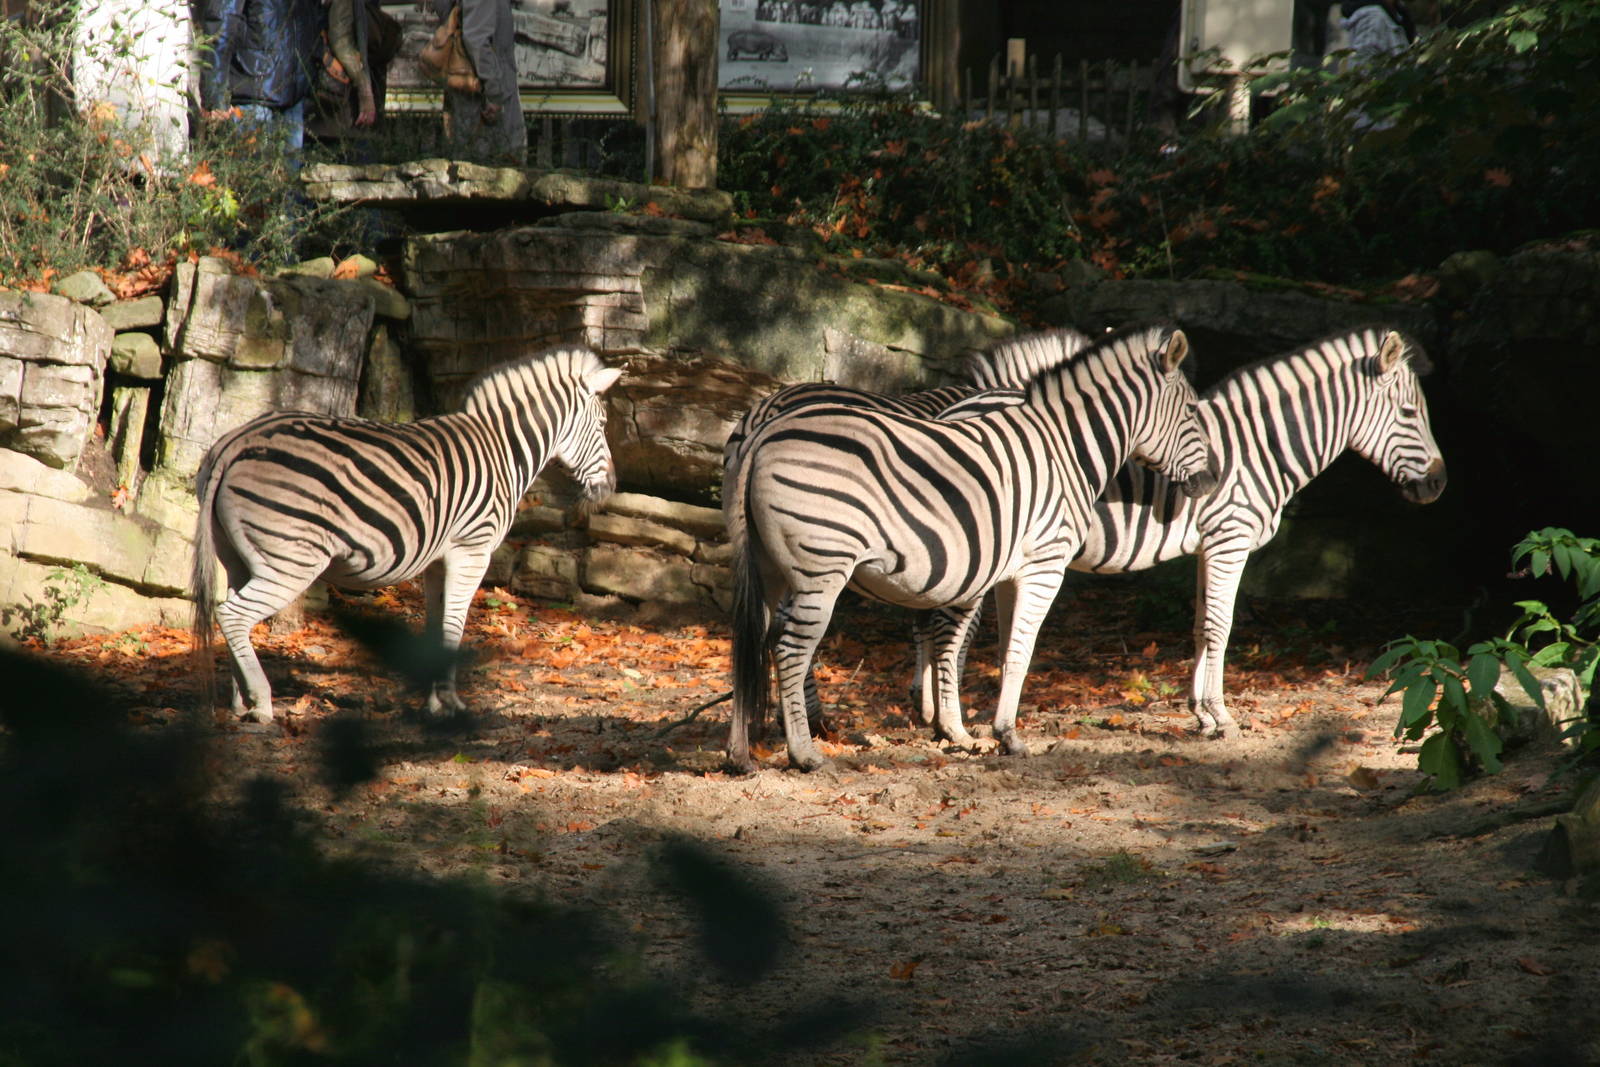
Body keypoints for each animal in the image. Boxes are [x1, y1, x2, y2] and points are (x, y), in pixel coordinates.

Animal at [191, 345, 622, 722]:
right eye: (602, 425)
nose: (611, 488)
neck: (502, 449)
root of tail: (236, 441)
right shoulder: (472, 550)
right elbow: (454, 627)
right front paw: (452, 705)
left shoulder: (438, 561)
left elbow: (437, 629)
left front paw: (433, 703)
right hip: (292, 559)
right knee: (233, 615)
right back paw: (262, 703)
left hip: (239, 557)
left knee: (232, 612)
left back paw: (241, 702)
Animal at [724, 325, 1219, 772]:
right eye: (1191, 411)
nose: (1210, 481)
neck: (1064, 449)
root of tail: (763, 429)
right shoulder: (1044, 565)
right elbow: (1017, 648)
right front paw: (1005, 736)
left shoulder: (1005, 570)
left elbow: (997, 648)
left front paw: (971, 728)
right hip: (821, 568)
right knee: (790, 648)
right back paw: (804, 752)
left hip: (767, 565)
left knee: (750, 639)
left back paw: (740, 756)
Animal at [1067, 326, 1446, 738]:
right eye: (1409, 412)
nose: (1439, 483)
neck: (1257, 451)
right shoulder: (1229, 541)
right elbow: (1220, 627)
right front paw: (1221, 716)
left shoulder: (1207, 548)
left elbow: (1200, 625)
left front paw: (1201, 716)